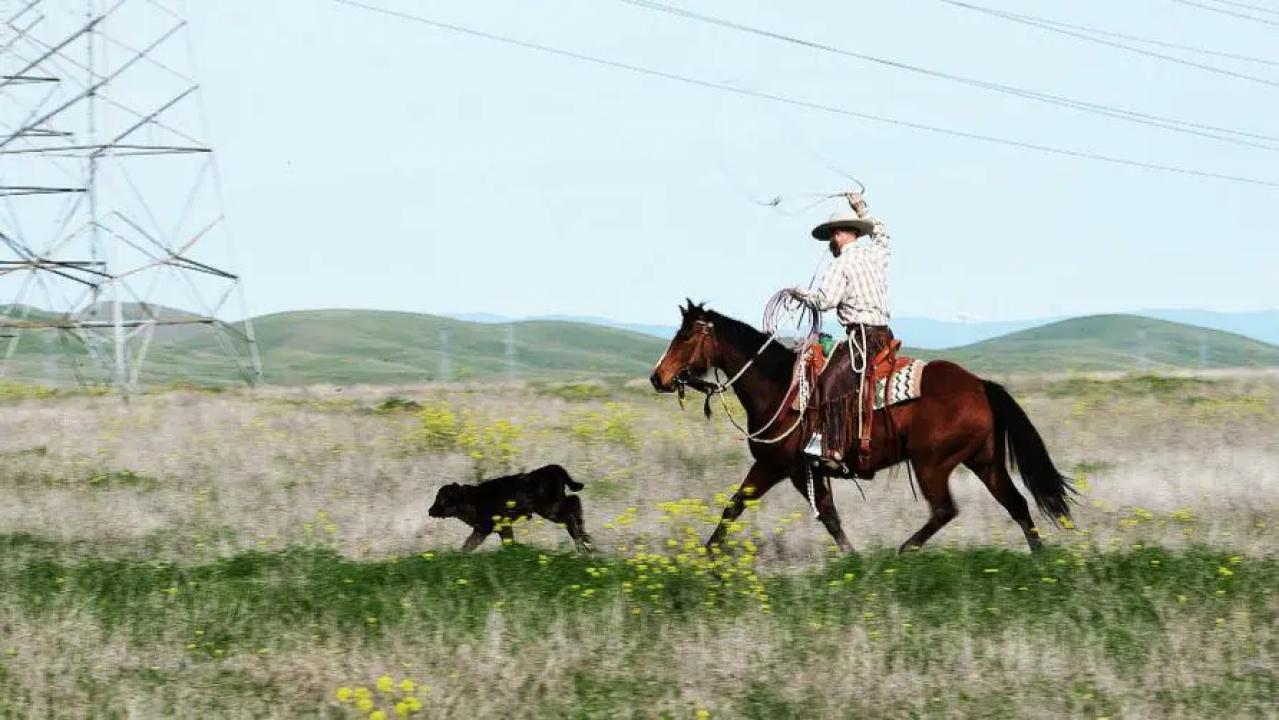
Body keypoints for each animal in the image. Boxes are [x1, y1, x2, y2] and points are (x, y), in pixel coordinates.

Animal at [644, 301, 1074, 555]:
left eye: (685, 336)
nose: (657, 377)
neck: (779, 386)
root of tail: (980, 386)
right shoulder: (805, 471)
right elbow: (826, 516)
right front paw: (852, 560)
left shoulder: (779, 466)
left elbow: (739, 505)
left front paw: (710, 555)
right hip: (984, 461)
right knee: (1016, 505)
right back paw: (1040, 562)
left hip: (932, 464)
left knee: (945, 509)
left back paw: (902, 551)